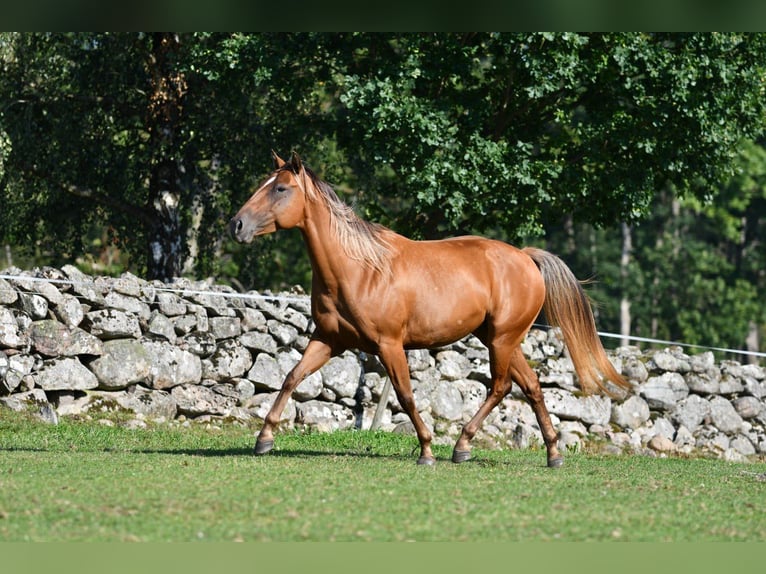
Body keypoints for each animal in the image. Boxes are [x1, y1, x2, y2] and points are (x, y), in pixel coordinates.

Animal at [229, 151, 629, 467]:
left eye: (280, 189)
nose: (237, 225)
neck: (358, 269)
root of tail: (526, 257)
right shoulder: (329, 340)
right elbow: (291, 377)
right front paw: (263, 440)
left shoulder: (389, 345)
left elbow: (405, 395)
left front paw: (426, 450)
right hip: (499, 339)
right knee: (530, 385)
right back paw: (552, 454)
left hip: (502, 339)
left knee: (501, 387)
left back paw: (462, 447)